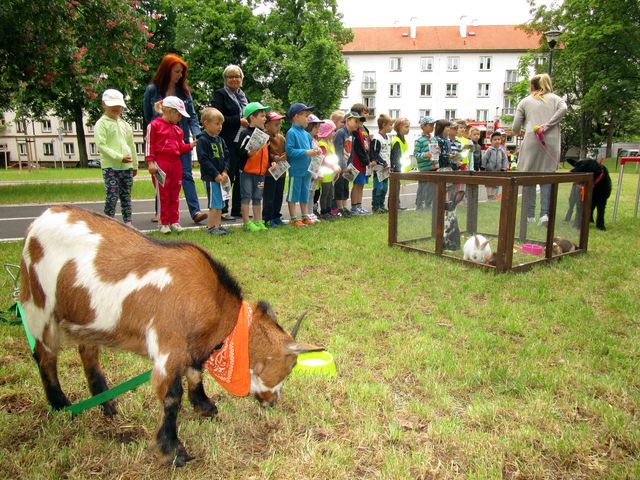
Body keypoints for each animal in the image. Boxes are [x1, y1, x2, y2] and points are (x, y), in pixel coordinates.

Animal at [19, 205, 320, 464]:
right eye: (288, 367)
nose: (272, 402)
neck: (219, 307)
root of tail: (40, 220)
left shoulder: (193, 348)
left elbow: (196, 374)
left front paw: (205, 406)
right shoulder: (168, 348)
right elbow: (171, 396)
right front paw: (173, 451)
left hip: (85, 316)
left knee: (87, 351)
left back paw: (108, 405)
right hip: (39, 305)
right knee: (45, 355)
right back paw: (61, 405)